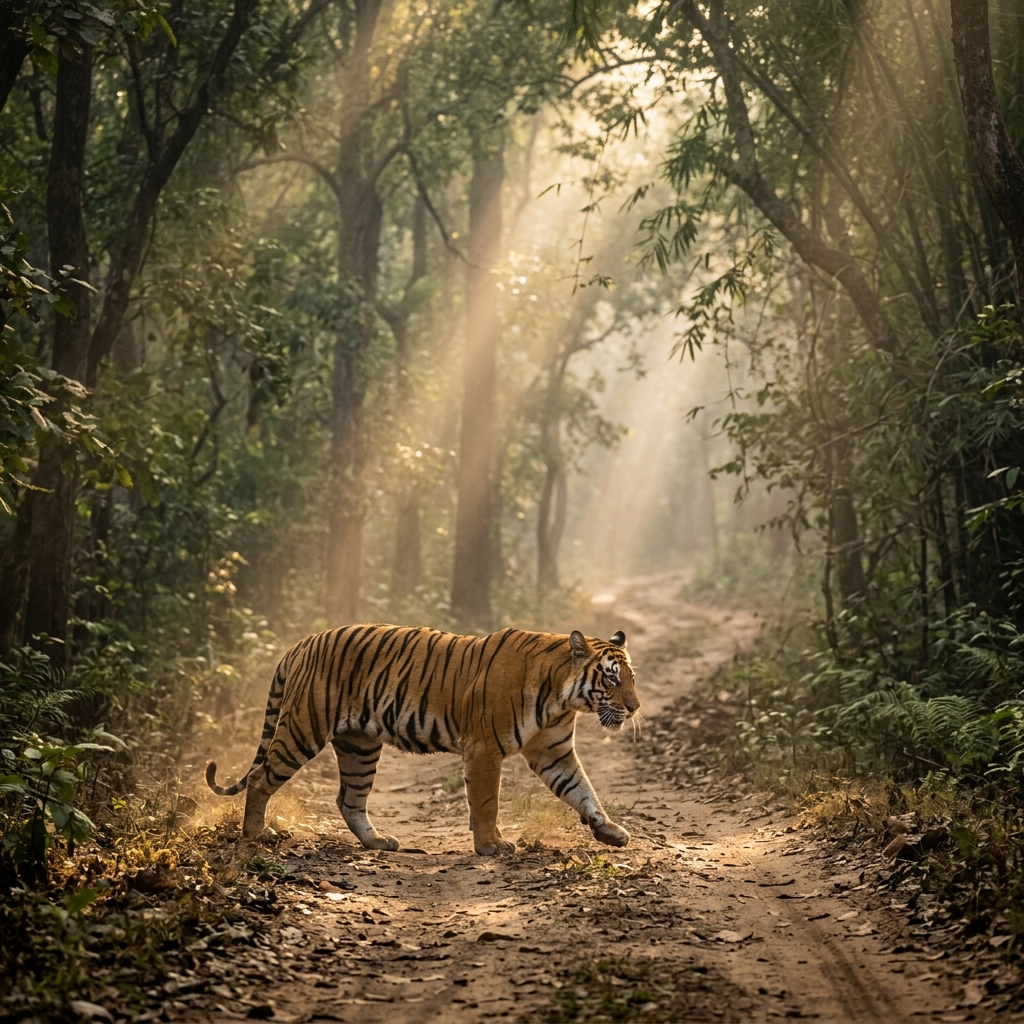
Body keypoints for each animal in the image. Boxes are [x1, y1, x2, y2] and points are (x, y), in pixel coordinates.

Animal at [206, 625, 640, 855]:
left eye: (632, 678)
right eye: (612, 679)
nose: (635, 707)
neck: (562, 697)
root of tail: (301, 642)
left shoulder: (554, 752)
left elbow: (583, 791)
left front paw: (610, 831)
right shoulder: (484, 749)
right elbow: (486, 802)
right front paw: (490, 846)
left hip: (359, 745)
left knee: (349, 799)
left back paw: (377, 841)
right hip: (303, 728)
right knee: (261, 777)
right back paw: (256, 835)